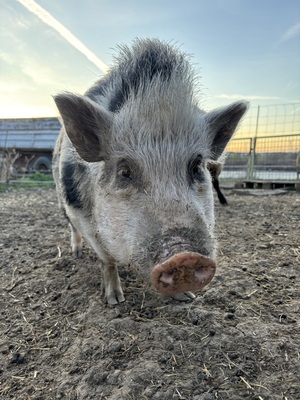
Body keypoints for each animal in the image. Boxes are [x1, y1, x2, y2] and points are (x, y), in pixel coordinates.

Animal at [52, 39, 248, 304]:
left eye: (196, 166)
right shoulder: (84, 216)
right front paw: (114, 301)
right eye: (124, 171)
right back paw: (76, 254)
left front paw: (187, 297)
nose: (184, 256)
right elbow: (107, 259)